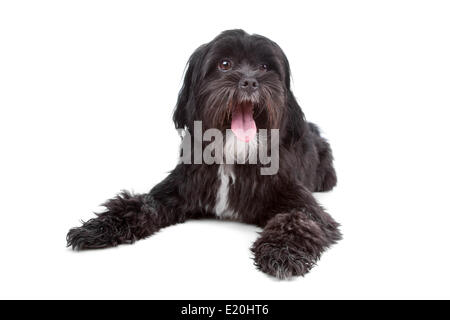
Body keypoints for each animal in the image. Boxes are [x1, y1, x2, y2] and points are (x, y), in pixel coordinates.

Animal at [67, 30, 342, 280]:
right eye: (224, 64)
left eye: (265, 67)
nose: (250, 82)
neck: (233, 153)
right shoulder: (174, 190)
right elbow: (137, 204)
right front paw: (99, 228)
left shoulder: (298, 199)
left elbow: (298, 220)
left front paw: (281, 252)